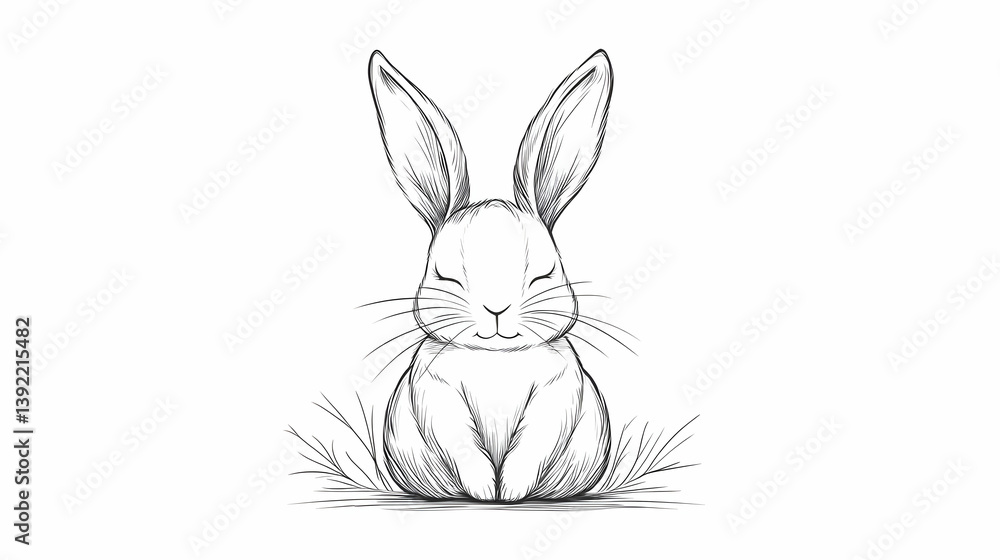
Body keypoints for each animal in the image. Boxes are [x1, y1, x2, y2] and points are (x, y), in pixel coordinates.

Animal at [369, 49, 614, 502]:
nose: (496, 310)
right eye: (443, 274)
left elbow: (533, 445)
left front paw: (511, 493)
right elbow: (461, 445)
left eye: (546, 272)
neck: (497, 359)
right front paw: (486, 492)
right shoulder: (435, 394)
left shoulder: (558, 394)